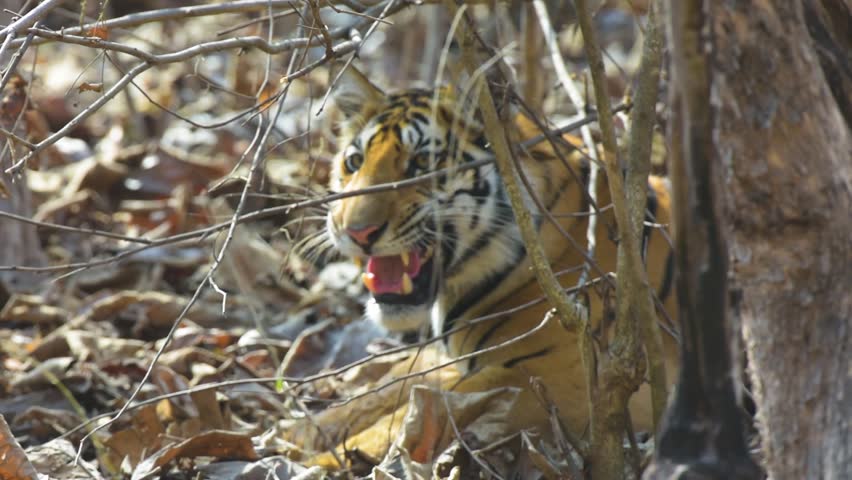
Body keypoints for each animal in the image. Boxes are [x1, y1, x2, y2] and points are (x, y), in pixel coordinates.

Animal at [309, 65, 679, 468]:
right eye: (354, 162)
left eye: (423, 163)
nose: (355, 231)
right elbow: (394, 383)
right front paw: (305, 430)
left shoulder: (567, 379)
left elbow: (415, 412)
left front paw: (318, 462)